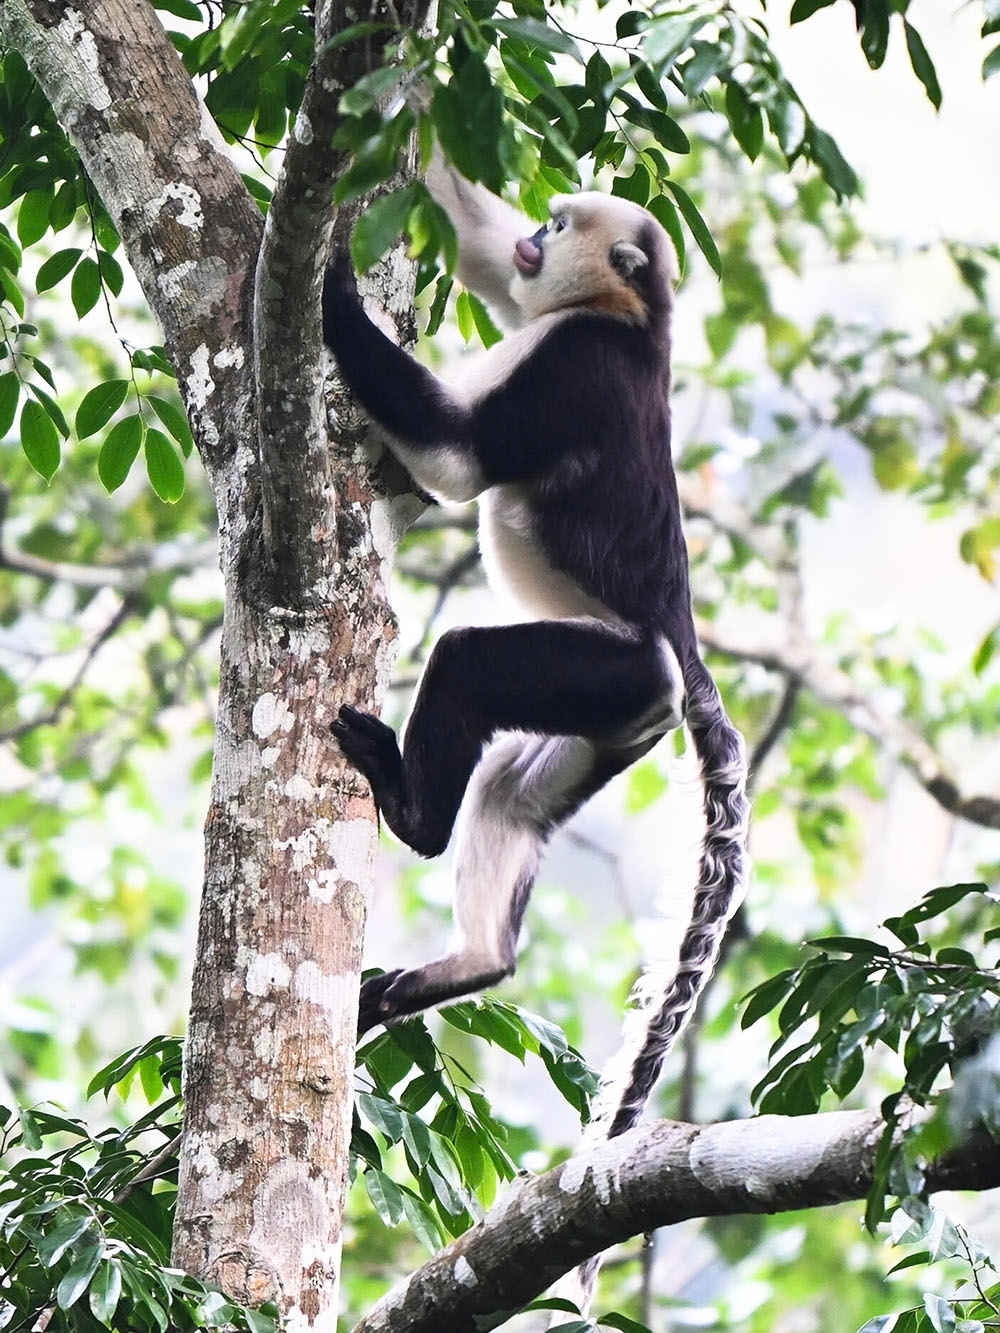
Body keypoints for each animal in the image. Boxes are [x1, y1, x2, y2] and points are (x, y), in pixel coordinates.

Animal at [322, 160, 749, 1142]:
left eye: (558, 227)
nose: (534, 239)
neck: (634, 322)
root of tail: (681, 646)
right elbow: (474, 245)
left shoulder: (568, 361)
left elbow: (457, 459)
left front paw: (330, 285)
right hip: (623, 723)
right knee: (511, 799)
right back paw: (475, 963)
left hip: (611, 671)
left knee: (466, 665)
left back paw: (413, 814)